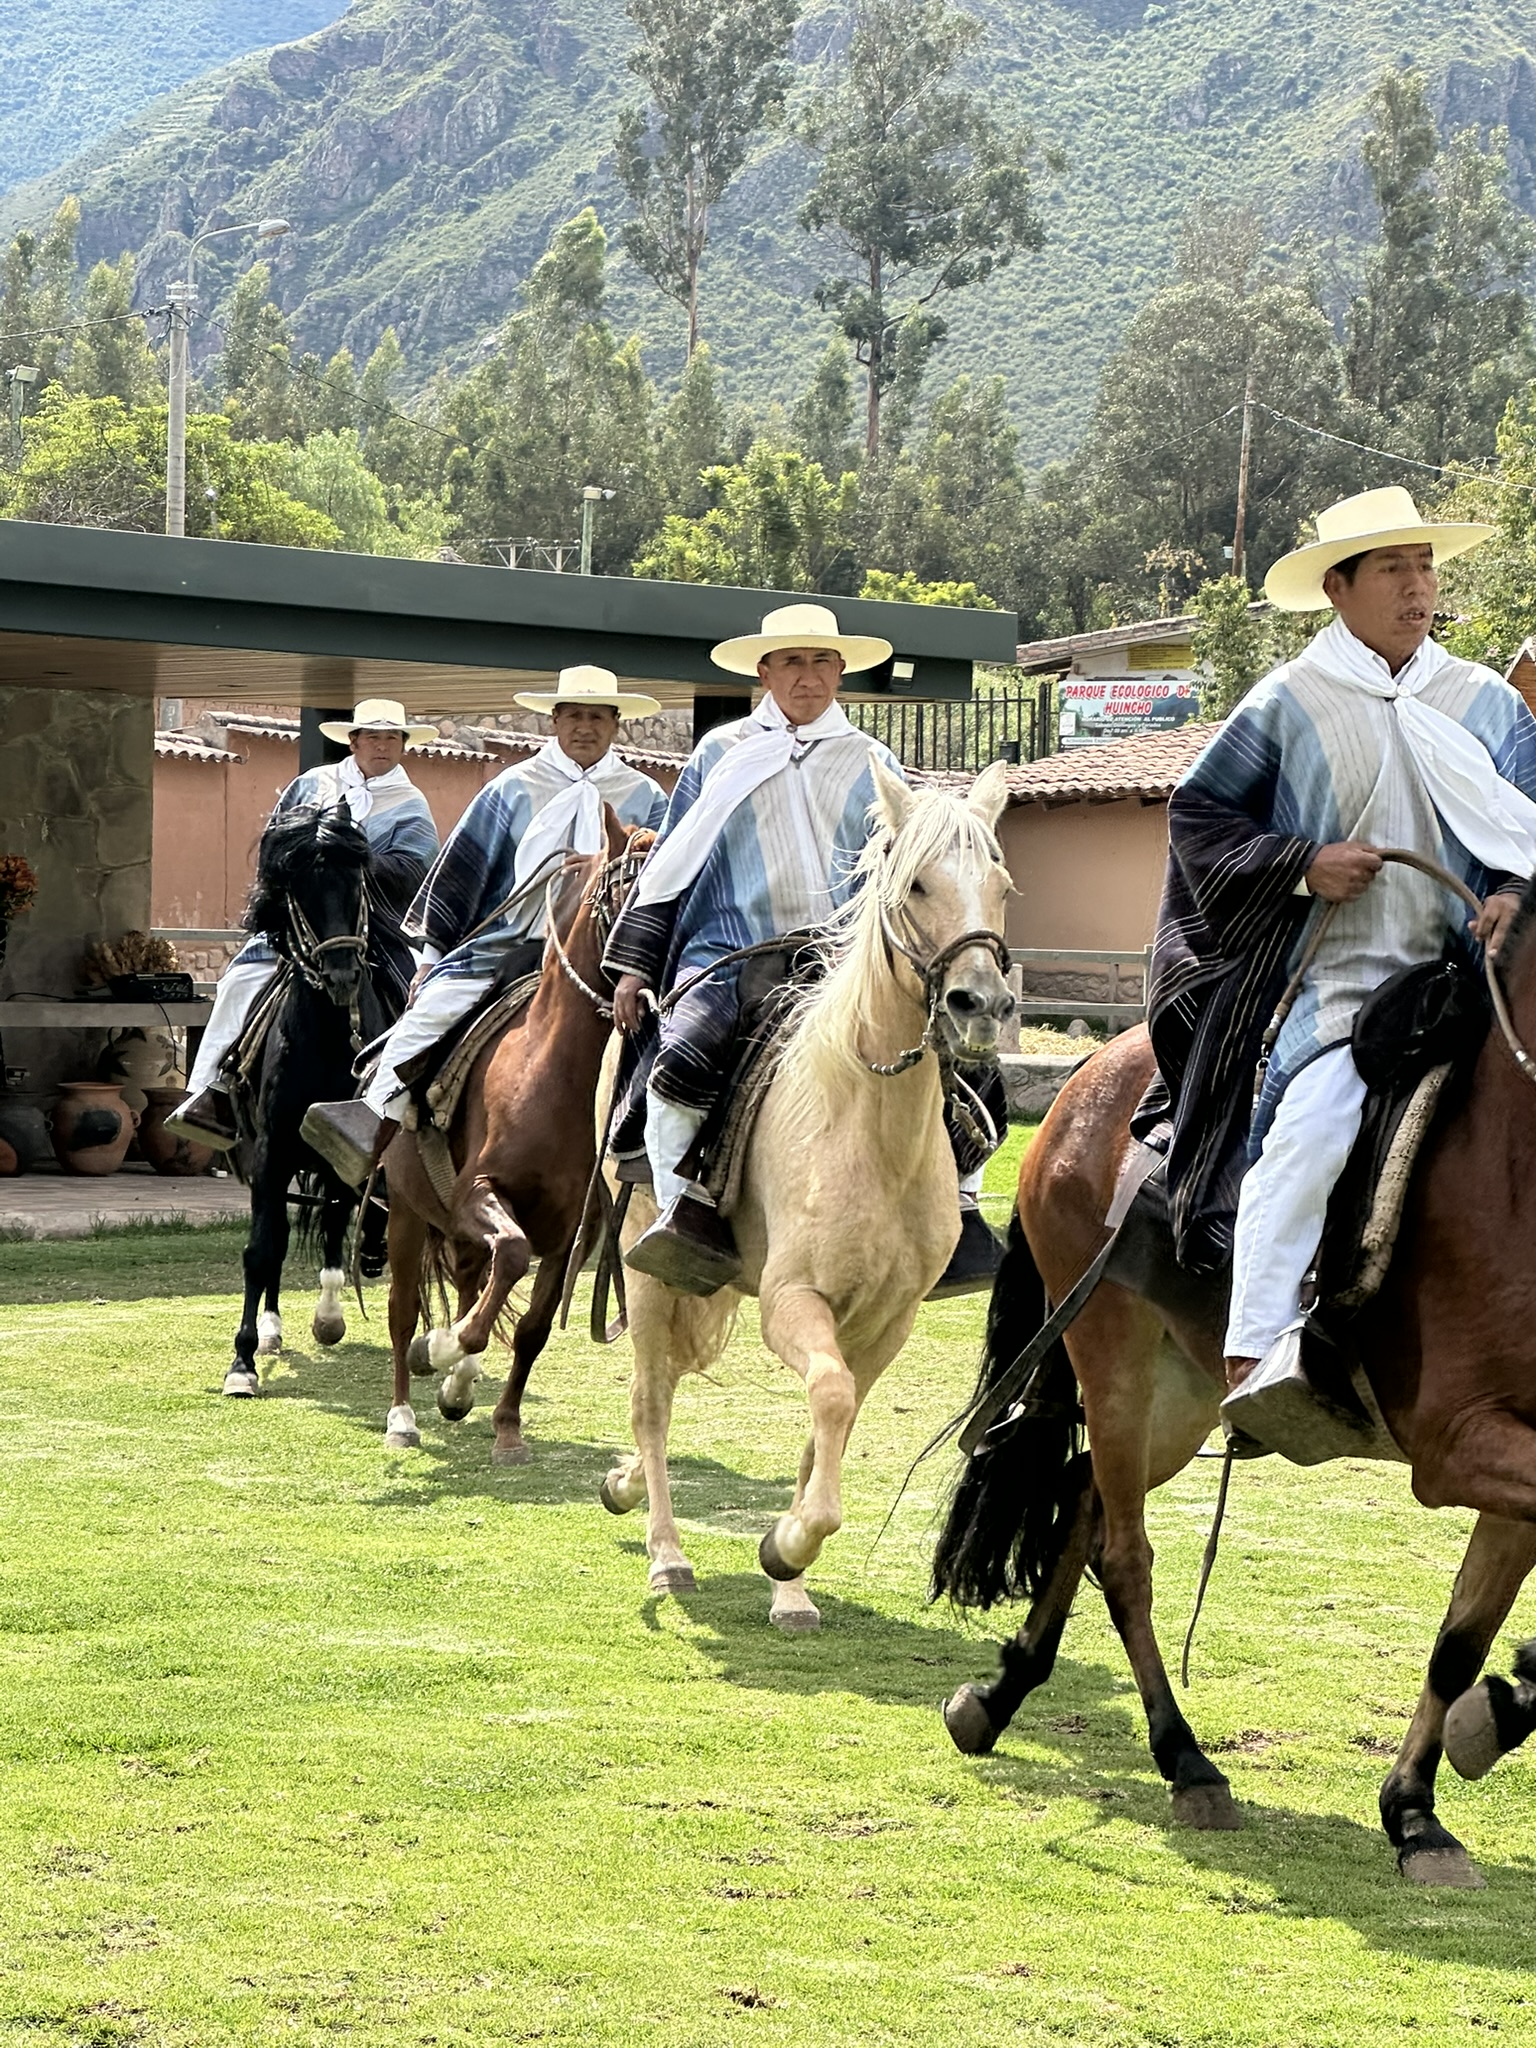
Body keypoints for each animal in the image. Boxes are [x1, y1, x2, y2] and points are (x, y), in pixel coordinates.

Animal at [223, 804, 415, 1398]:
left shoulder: (347, 1151)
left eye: (356, 885)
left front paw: (329, 1315)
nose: (342, 974)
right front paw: (242, 1362)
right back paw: (270, 1329)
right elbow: (263, 1248)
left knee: (334, 1221)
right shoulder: (270, 1151)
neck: (328, 1040)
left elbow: (336, 1223)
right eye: (300, 891)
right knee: (285, 1234)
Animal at [379, 812, 652, 1462]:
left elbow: (531, 1327)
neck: (548, 1075)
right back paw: (404, 1413)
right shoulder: (477, 1193)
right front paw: (446, 1347)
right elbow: (510, 1254)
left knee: (471, 1282)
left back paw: (457, 1388)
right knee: (403, 1311)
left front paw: (505, 1424)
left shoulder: (573, 1231)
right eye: (626, 893)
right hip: (405, 1209)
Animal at [600, 761, 1015, 1630]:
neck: (871, 1130)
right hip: (648, 1270)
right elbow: (827, 1395)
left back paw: (623, 1484)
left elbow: (834, 1419)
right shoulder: (794, 1301)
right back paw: (666, 1552)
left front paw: (788, 1581)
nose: (982, 1006)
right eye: (917, 884)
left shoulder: (886, 1321)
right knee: (652, 1401)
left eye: (1000, 885)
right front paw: (789, 1545)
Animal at [931, 869, 1536, 1887]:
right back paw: (1185, 1761)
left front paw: (1420, 1807)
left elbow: (1462, 1640)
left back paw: (1003, 1692)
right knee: (1123, 1555)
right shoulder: (1459, 1443)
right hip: (1117, 1360)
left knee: (1085, 1503)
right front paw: (1497, 1714)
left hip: (1178, 1394)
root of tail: (1084, 1083)